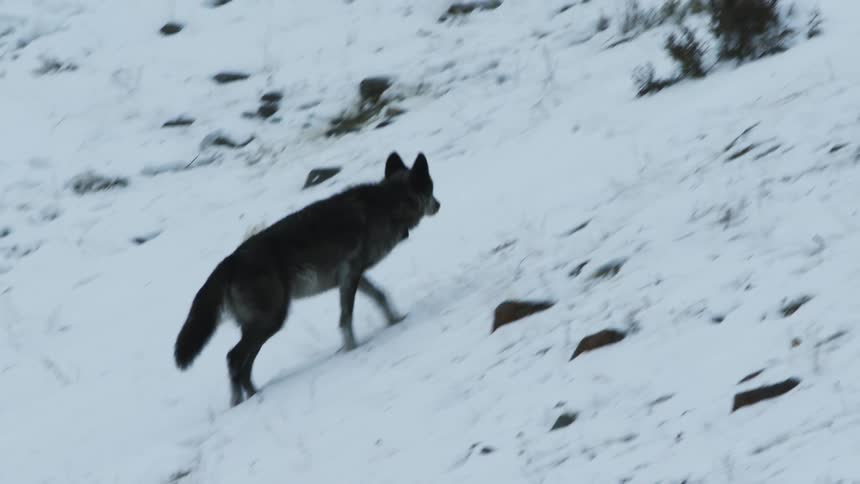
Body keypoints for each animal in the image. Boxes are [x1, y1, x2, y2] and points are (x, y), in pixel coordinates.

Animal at [173, 152, 440, 406]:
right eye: (431, 188)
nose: (439, 205)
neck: (387, 205)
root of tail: (229, 262)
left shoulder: (352, 277)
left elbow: (380, 296)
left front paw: (395, 319)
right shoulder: (351, 273)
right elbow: (346, 317)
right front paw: (353, 348)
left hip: (265, 324)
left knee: (243, 366)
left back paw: (253, 396)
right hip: (272, 319)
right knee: (233, 358)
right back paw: (241, 402)